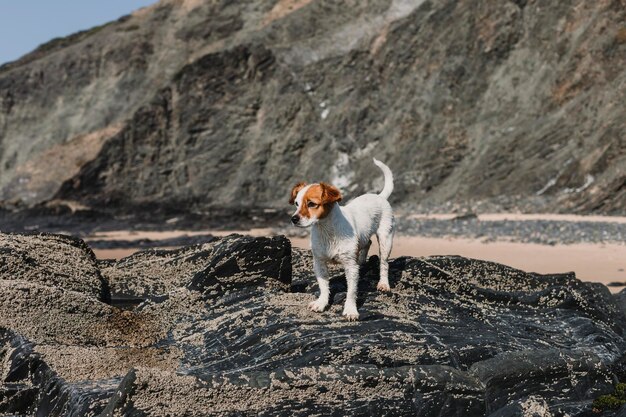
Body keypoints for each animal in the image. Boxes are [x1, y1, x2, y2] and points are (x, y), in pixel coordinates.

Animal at [286, 158, 392, 320]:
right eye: (296, 204)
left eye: (311, 204)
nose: (293, 219)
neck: (326, 230)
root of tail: (379, 196)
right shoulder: (319, 263)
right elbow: (324, 287)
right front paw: (321, 303)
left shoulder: (350, 267)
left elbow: (351, 291)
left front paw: (350, 310)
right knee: (367, 242)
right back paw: (362, 260)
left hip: (386, 239)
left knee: (384, 263)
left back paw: (383, 284)